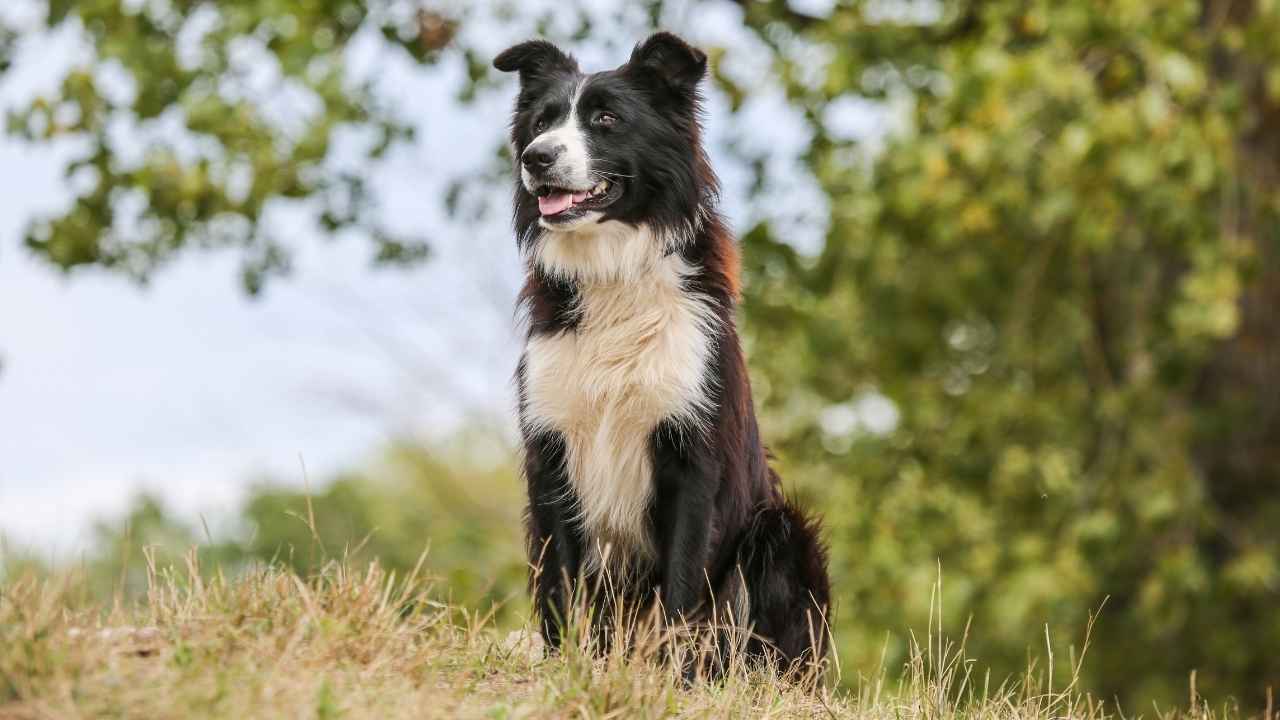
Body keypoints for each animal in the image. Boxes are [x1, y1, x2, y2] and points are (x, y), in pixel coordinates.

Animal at [488, 30, 829, 676]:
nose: (535, 158)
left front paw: (670, 676)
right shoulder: (552, 449)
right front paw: (565, 664)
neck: (613, 270)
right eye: (542, 122)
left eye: (605, 119)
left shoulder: (690, 456)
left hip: (780, 532)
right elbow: (560, 582)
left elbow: (681, 583)